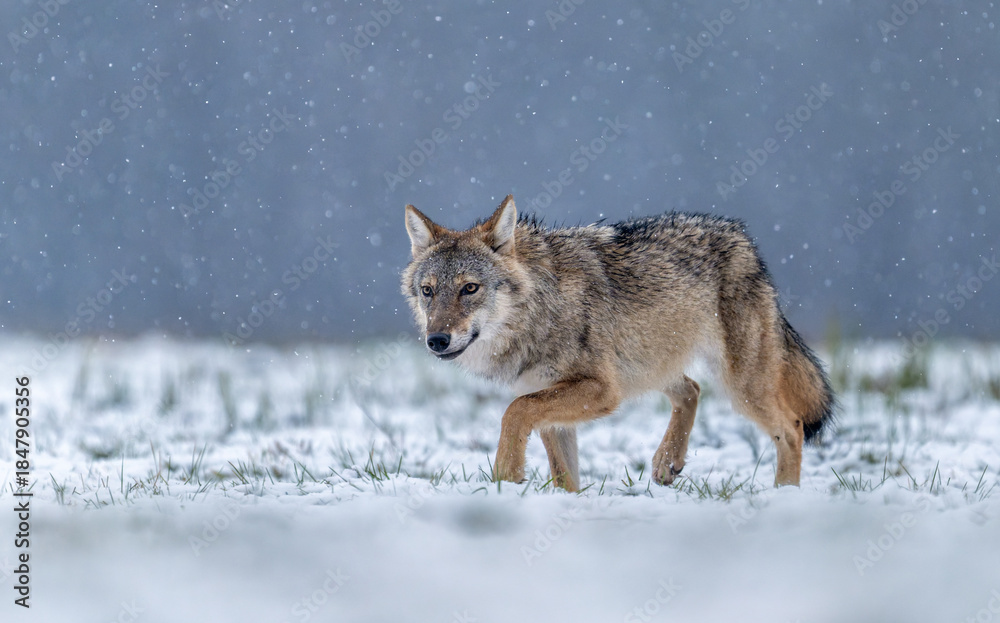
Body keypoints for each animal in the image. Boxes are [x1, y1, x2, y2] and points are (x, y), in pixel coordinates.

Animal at [401, 195, 834, 491]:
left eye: (469, 289)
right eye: (428, 291)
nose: (436, 340)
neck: (538, 311)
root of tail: (743, 239)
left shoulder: (601, 390)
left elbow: (514, 412)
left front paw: (505, 478)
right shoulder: (551, 402)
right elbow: (564, 476)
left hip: (740, 387)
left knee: (791, 428)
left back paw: (784, 495)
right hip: (651, 367)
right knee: (691, 389)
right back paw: (666, 462)